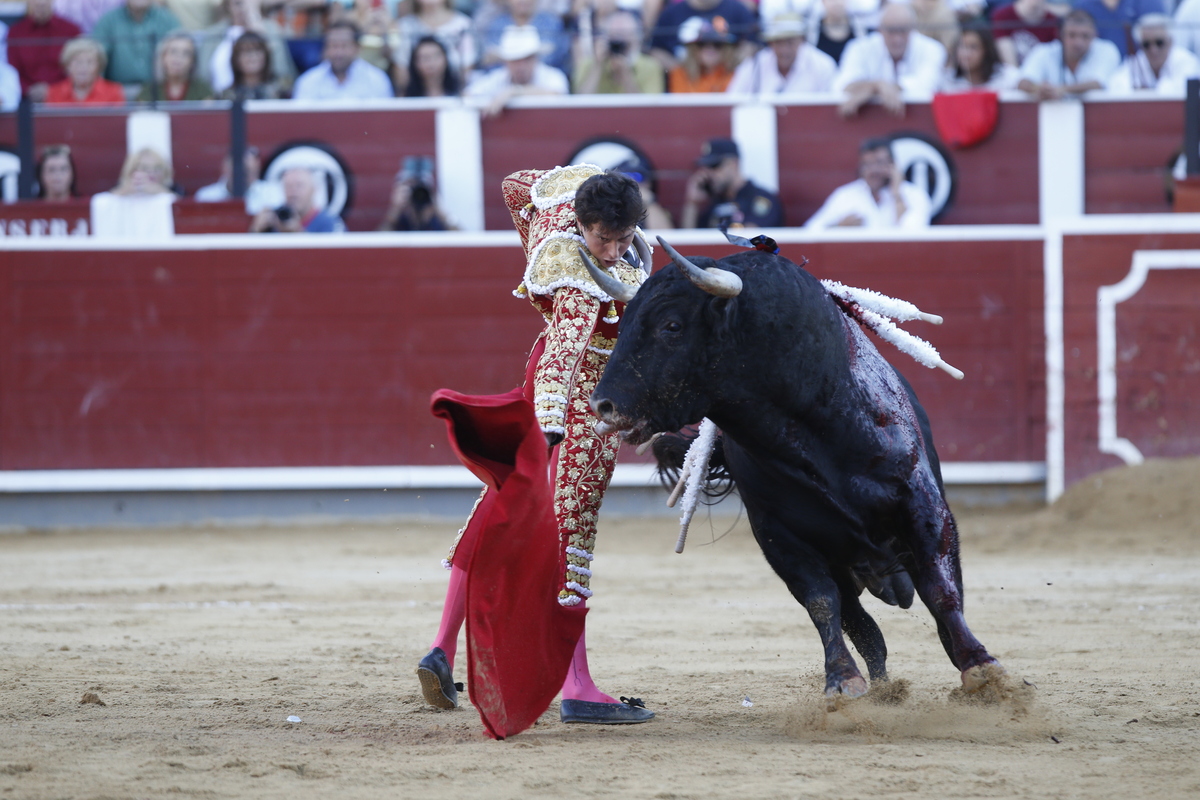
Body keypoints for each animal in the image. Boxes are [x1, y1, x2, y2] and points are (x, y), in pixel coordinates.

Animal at [585, 247, 998, 695]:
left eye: (671, 325)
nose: (603, 404)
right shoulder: (779, 535)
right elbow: (822, 602)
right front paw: (843, 680)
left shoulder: (921, 502)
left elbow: (940, 588)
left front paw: (981, 667)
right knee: (866, 629)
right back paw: (883, 690)